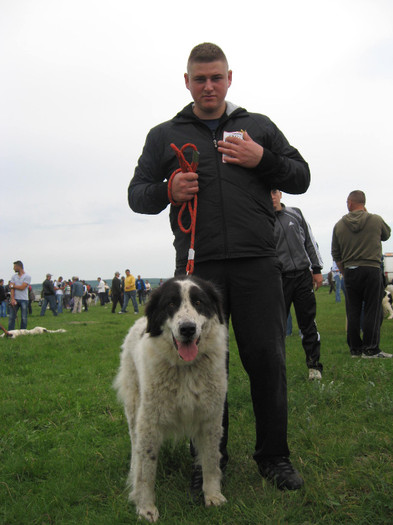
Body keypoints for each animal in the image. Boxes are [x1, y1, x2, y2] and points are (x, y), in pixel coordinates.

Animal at [113, 274, 227, 520]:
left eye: (198, 302)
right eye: (171, 304)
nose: (187, 329)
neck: (185, 369)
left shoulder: (211, 418)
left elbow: (211, 460)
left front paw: (212, 495)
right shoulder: (149, 422)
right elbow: (146, 471)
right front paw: (145, 507)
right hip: (134, 408)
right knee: (135, 446)